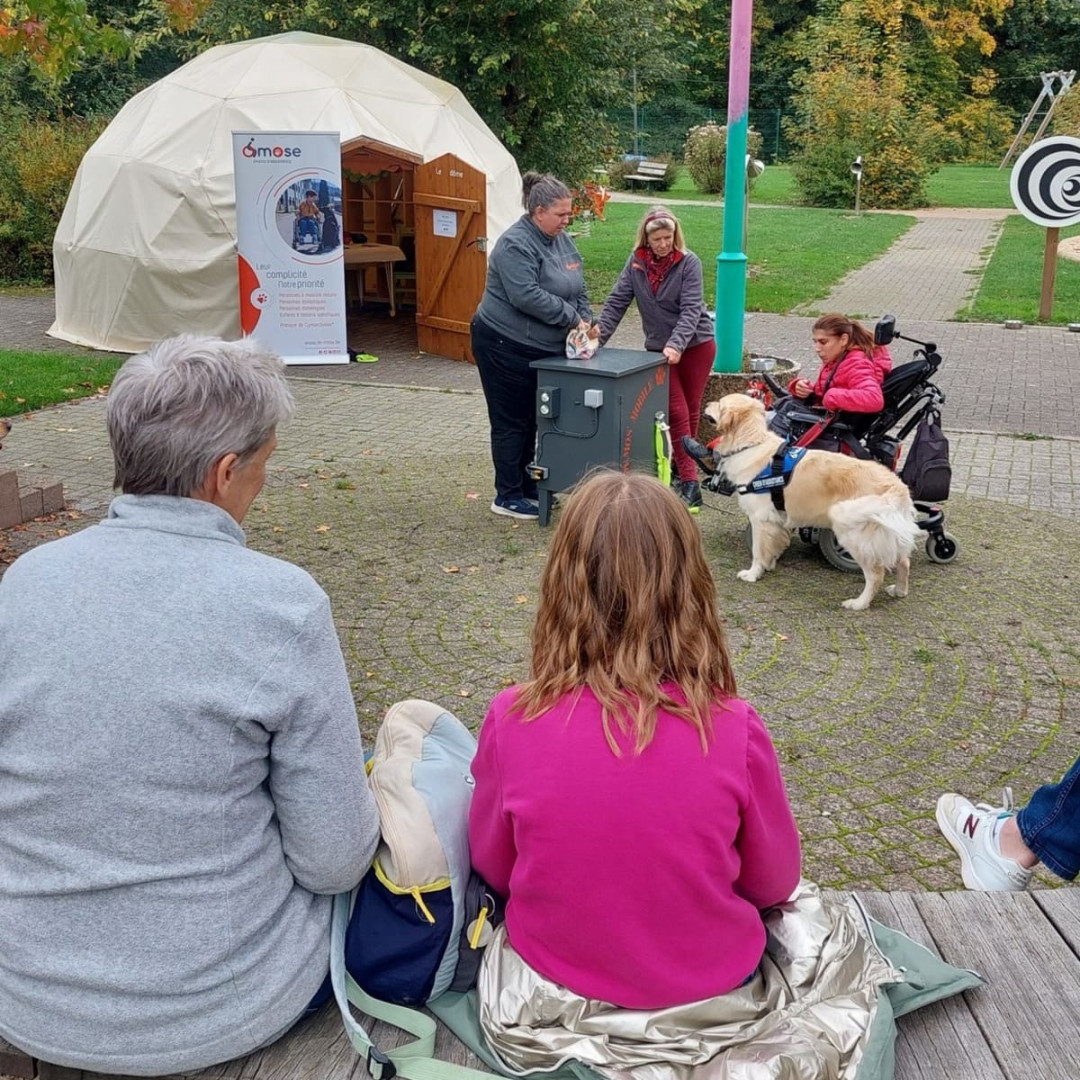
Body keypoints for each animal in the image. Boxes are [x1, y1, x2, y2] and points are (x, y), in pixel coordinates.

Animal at [703, 394, 920, 611]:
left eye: (720, 404)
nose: (706, 403)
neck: (750, 444)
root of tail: (897, 485)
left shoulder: (760, 518)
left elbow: (758, 550)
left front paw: (753, 573)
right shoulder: (777, 518)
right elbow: (774, 544)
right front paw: (769, 564)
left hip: (851, 529)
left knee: (876, 573)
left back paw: (859, 603)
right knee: (904, 562)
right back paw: (899, 591)